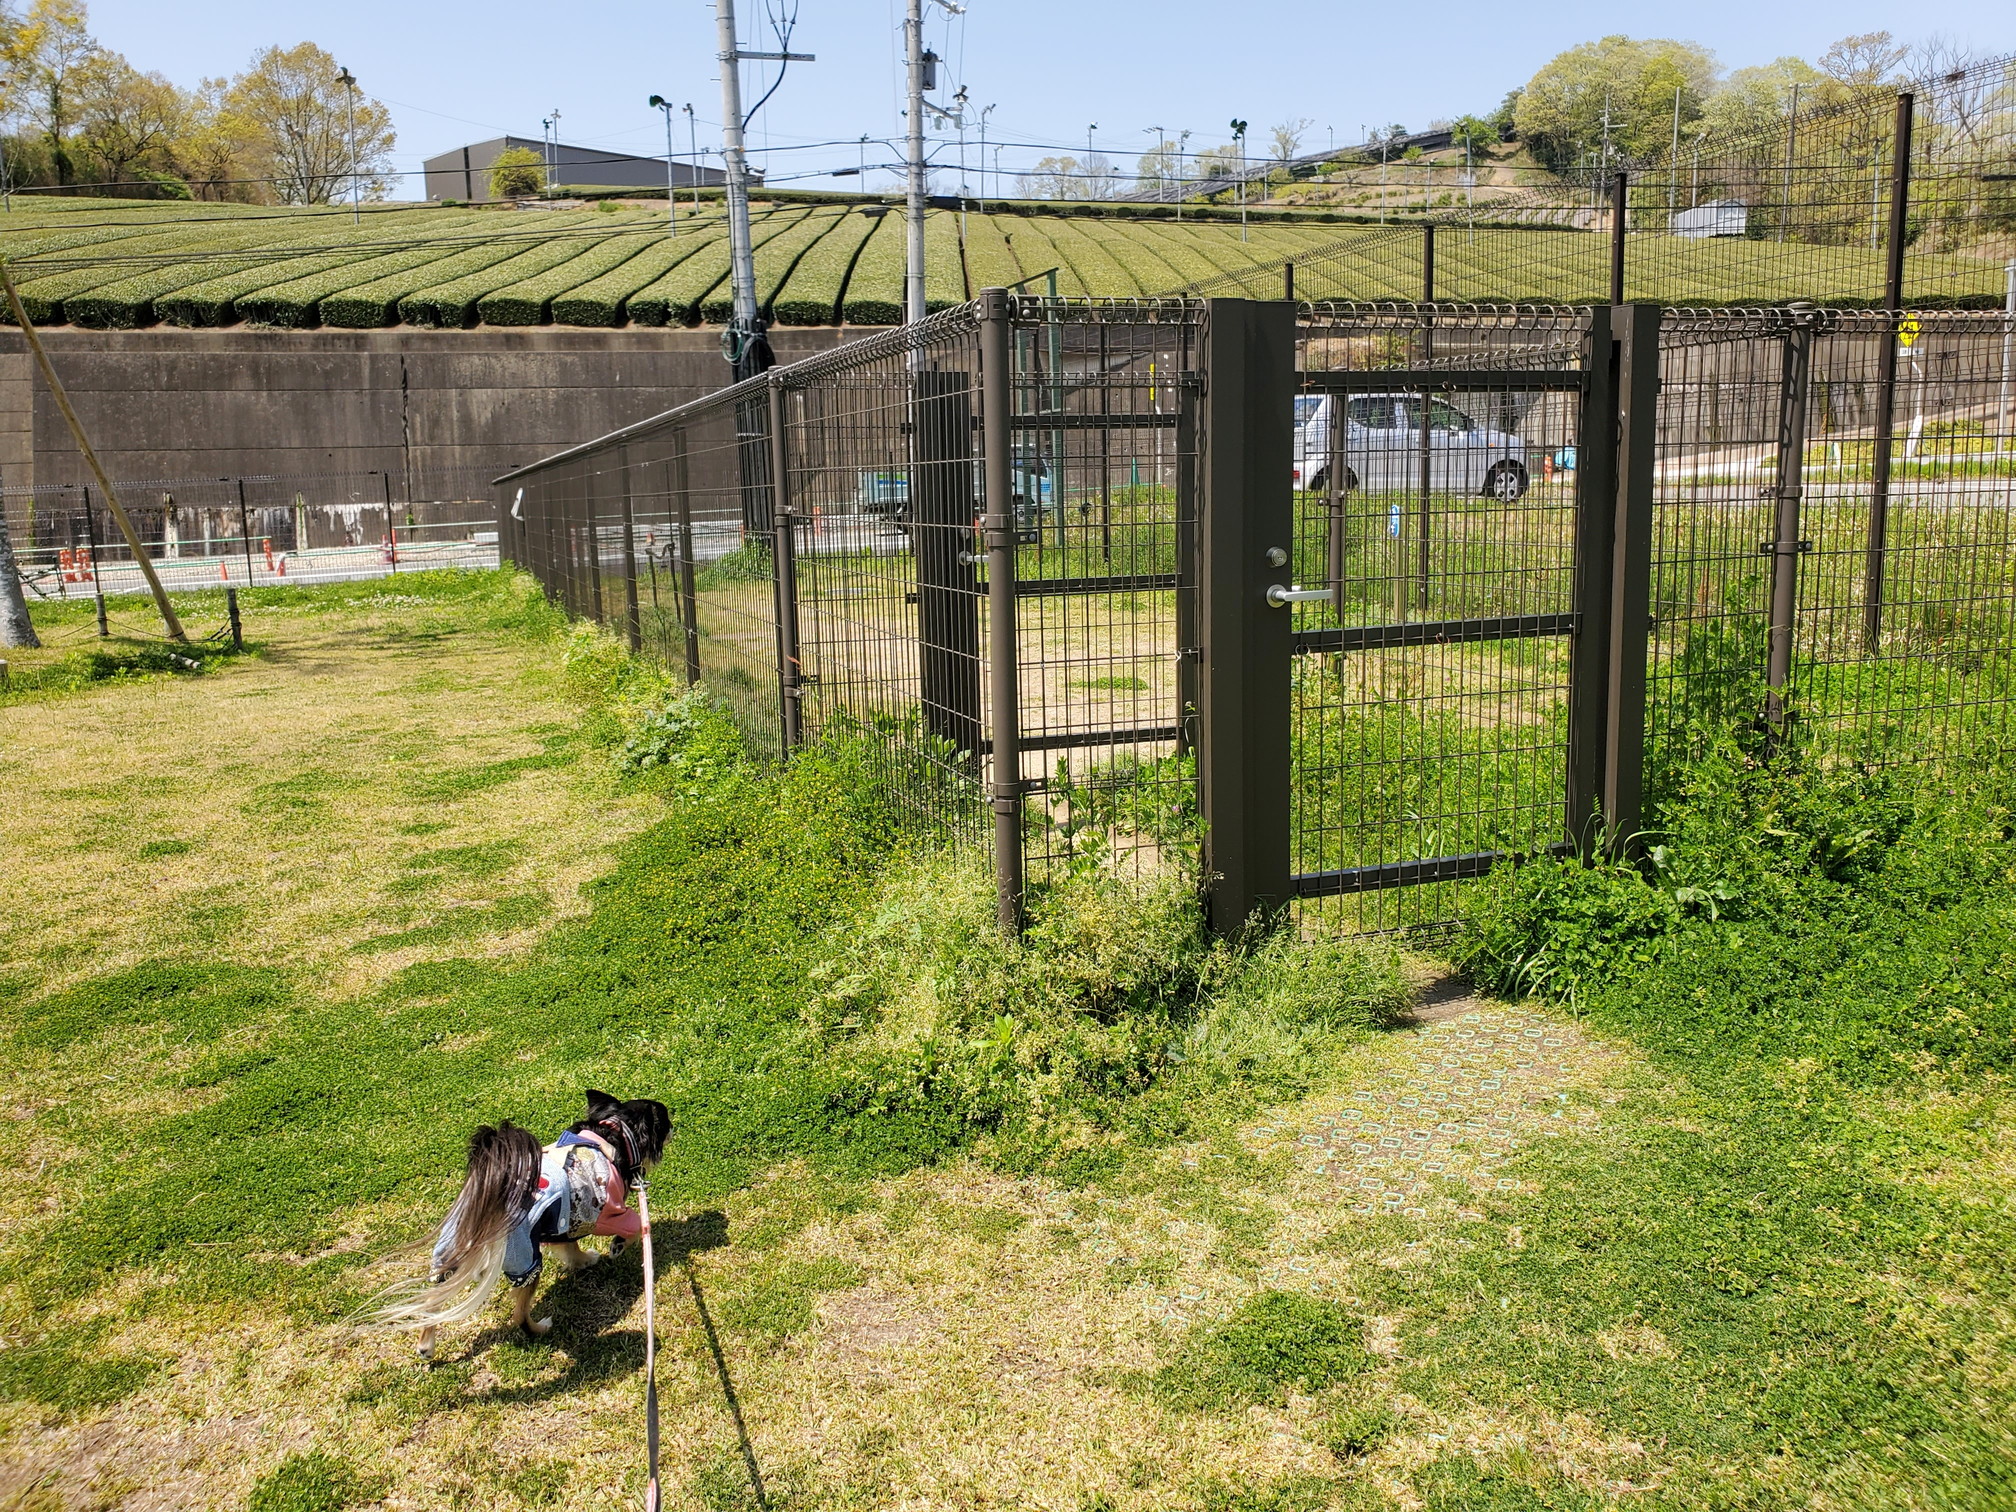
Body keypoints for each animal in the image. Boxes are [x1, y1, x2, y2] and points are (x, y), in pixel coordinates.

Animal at [370, 1088, 669, 1362]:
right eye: (665, 1120)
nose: (675, 1122)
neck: (615, 1133)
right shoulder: (603, 1210)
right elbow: (635, 1224)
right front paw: (616, 1246)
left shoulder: (563, 1221)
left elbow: (570, 1247)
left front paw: (583, 1261)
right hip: (525, 1260)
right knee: (519, 1317)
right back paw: (540, 1328)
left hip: (450, 1253)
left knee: (433, 1303)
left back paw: (426, 1347)